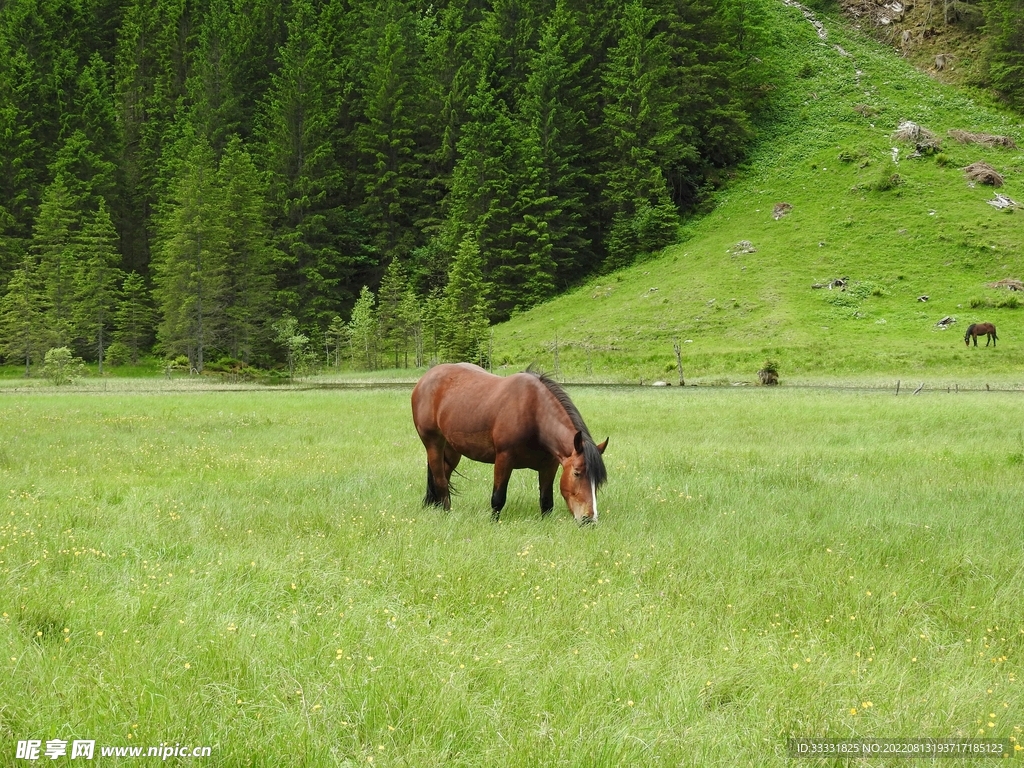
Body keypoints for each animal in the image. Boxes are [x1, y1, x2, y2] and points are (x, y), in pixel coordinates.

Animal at [411, 363, 608, 524]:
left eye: (598, 481)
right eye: (577, 473)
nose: (589, 519)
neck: (533, 413)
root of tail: (425, 379)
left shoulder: (549, 466)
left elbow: (546, 501)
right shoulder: (504, 459)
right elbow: (498, 498)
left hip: (452, 449)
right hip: (433, 444)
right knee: (440, 480)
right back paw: (446, 513)